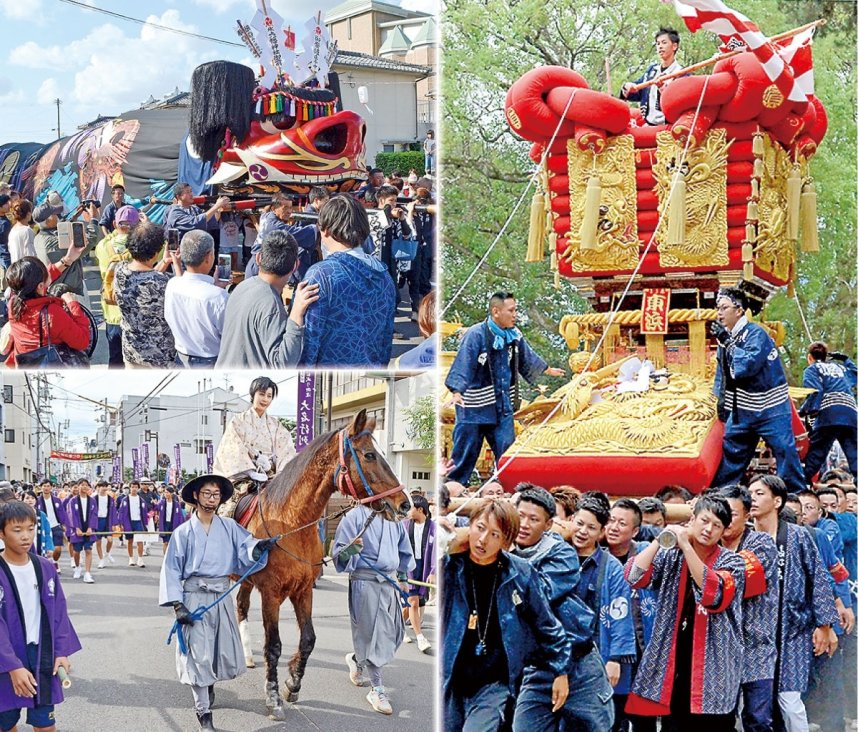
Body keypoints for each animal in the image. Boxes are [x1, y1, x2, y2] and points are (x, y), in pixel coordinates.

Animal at [232, 412, 410, 720]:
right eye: (369, 455)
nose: (404, 504)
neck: (291, 523)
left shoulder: (303, 590)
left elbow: (309, 640)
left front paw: (292, 683)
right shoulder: (271, 593)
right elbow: (273, 646)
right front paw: (273, 697)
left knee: (241, 607)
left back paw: (247, 655)